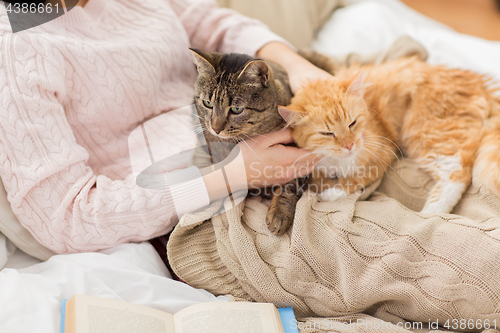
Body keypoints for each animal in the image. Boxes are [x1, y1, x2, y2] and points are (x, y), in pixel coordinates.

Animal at [278, 55, 500, 213]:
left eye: (352, 123)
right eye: (327, 133)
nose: (349, 146)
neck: (335, 161)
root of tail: (479, 83)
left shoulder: (383, 153)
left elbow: (355, 181)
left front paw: (331, 193)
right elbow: (317, 180)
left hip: (424, 131)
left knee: (456, 174)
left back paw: (429, 214)